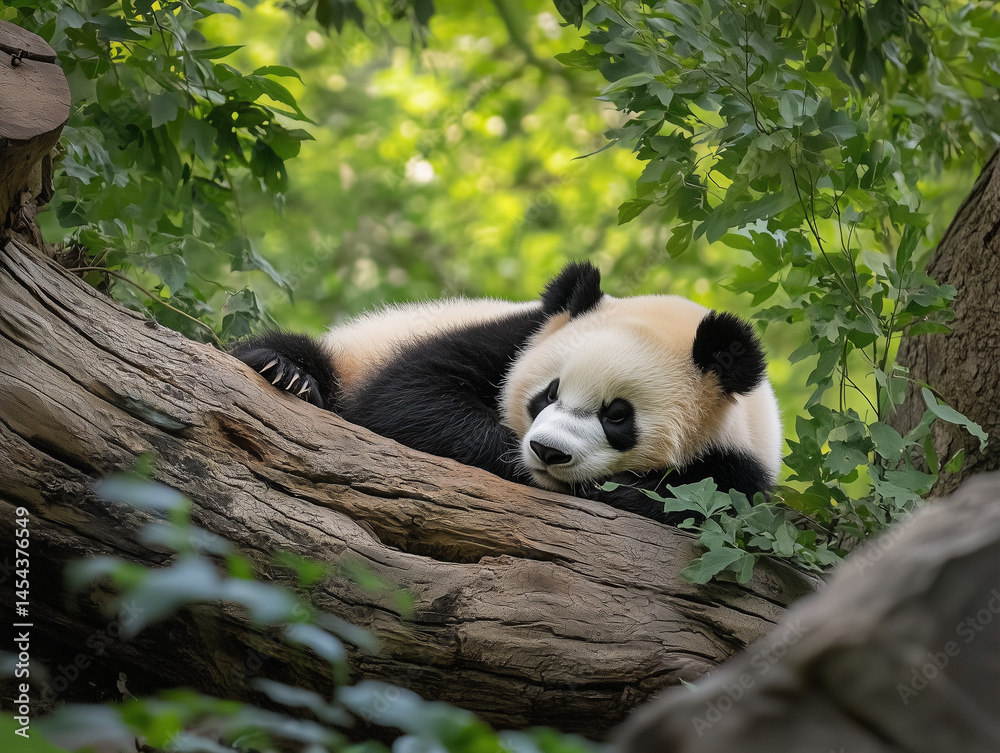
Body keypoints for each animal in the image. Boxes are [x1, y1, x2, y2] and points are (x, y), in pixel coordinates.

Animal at [230, 261, 782, 523]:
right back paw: (288, 372)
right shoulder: (515, 334)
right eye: (549, 393)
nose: (547, 451)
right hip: (349, 353)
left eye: (617, 416)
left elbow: (699, 503)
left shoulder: (739, 465)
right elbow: (409, 395)